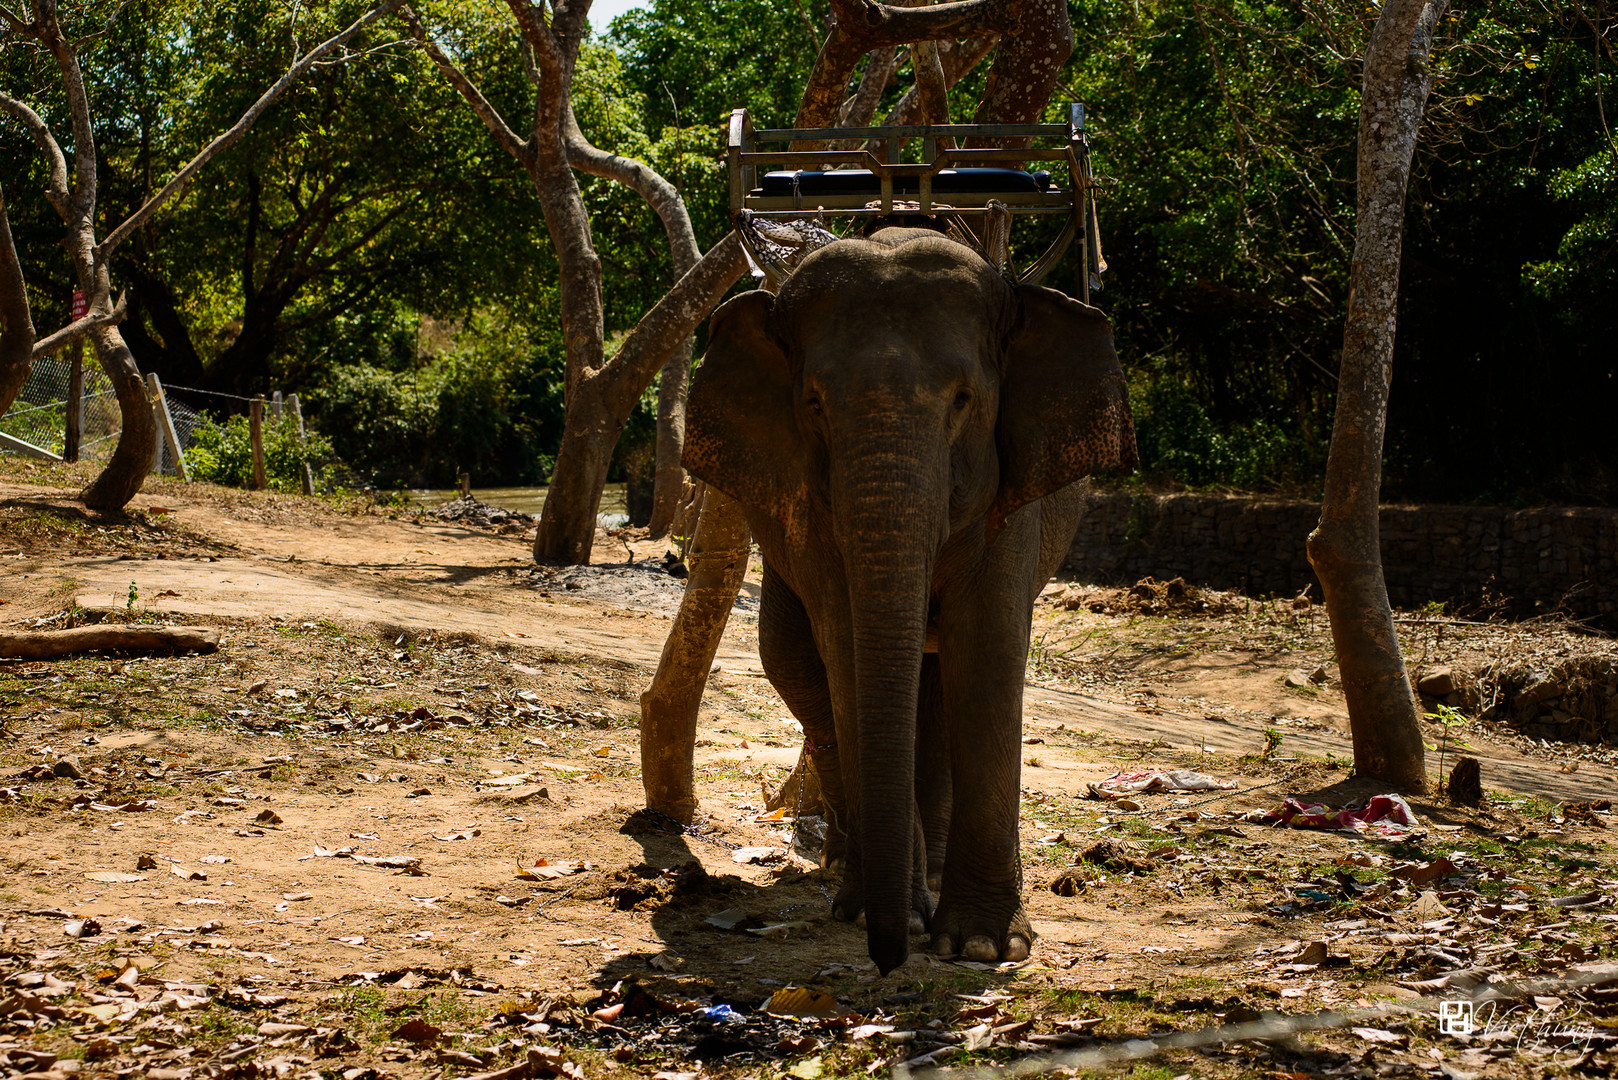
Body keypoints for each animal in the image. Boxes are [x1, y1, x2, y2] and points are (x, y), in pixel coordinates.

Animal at [686, 226, 1139, 971]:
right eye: (813, 404)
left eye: (962, 400)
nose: (889, 956)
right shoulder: (809, 507)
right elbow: (845, 649)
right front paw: (887, 911)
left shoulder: (1011, 497)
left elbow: (985, 648)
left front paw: (982, 945)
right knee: (797, 665)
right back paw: (861, 875)